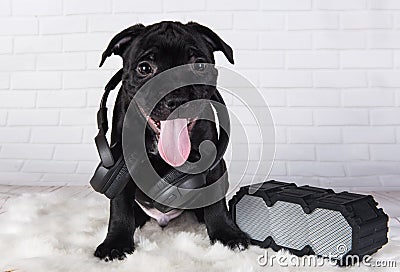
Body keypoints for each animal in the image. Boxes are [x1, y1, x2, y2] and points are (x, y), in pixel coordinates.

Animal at [95, 20, 248, 260]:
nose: (176, 99)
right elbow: (119, 205)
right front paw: (116, 242)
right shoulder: (121, 162)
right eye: (145, 68)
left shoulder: (212, 160)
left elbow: (216, 202)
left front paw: (226, 234)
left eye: (199, 66)